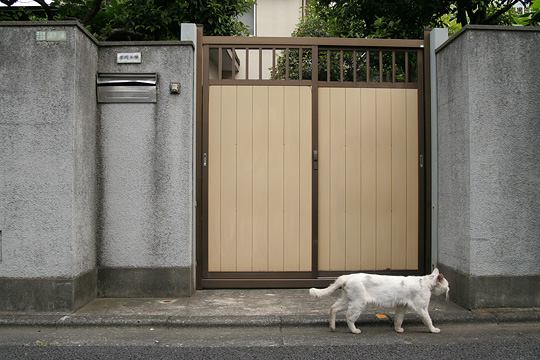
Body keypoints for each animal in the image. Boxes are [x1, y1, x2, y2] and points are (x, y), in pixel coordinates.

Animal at [310, 268, 450, 334]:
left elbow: (399, 319)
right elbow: (428, 320)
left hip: (347, 300)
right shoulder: (422, 308)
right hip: (358, 303)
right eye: (447, 286)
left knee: (333, 308)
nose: (449, 291)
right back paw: (354, 330)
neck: (426, 282)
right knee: (348, 317)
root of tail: (347, 276)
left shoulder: (401, 306)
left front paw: (398, 330)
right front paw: (433, 330)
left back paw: (332, 327)